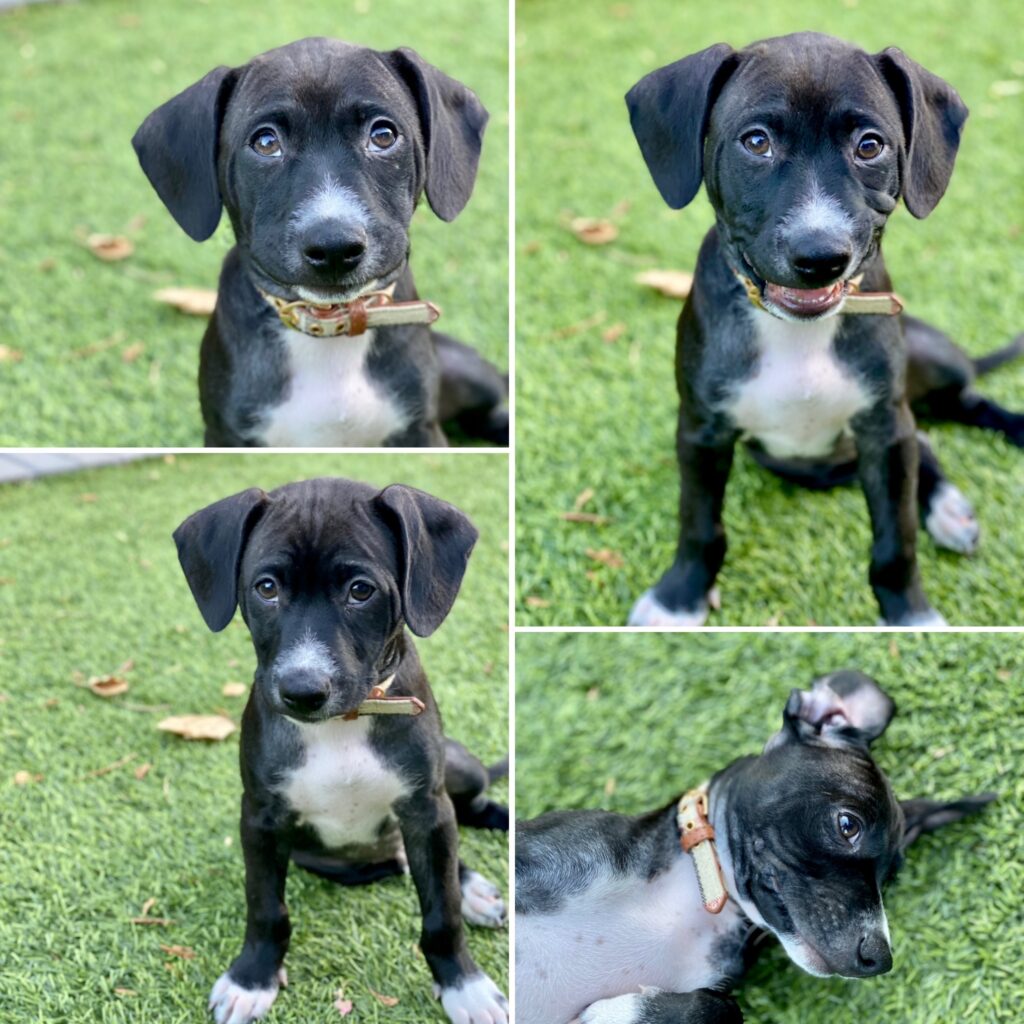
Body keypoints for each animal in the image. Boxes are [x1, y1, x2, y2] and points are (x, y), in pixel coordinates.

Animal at [132, 39, 507, 448]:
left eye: (383, 135)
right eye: (266, 142)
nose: (334, 248)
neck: (329, 330)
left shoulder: (421, 431)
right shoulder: (224, 435)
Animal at [176, 479, 512, 1024]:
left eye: (360, 590)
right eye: (266, 588)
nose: (301, 690)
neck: (342, 726)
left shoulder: (426, 807)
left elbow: (441, 907)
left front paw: (465, 986)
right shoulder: (261, 817)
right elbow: (265, 905)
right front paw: (252, 978)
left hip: (456, 773)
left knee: (467, 817)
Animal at [516, 671, 995, 1024]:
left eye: (890, 880)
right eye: (847, 826)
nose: (879, 957)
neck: (693, 900)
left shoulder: (711, 987)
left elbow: (717, 1007)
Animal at [622, 32, 1024, 626]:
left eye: (869, 146)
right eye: (756, 142)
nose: (820, 257)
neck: (798, 335)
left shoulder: (883, 427)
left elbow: (895, 537)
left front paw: (910, 615)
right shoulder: (701, 428)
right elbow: (699, 524)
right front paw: (680, 598)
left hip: (922, 367)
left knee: (962, 406)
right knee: (927, 437)